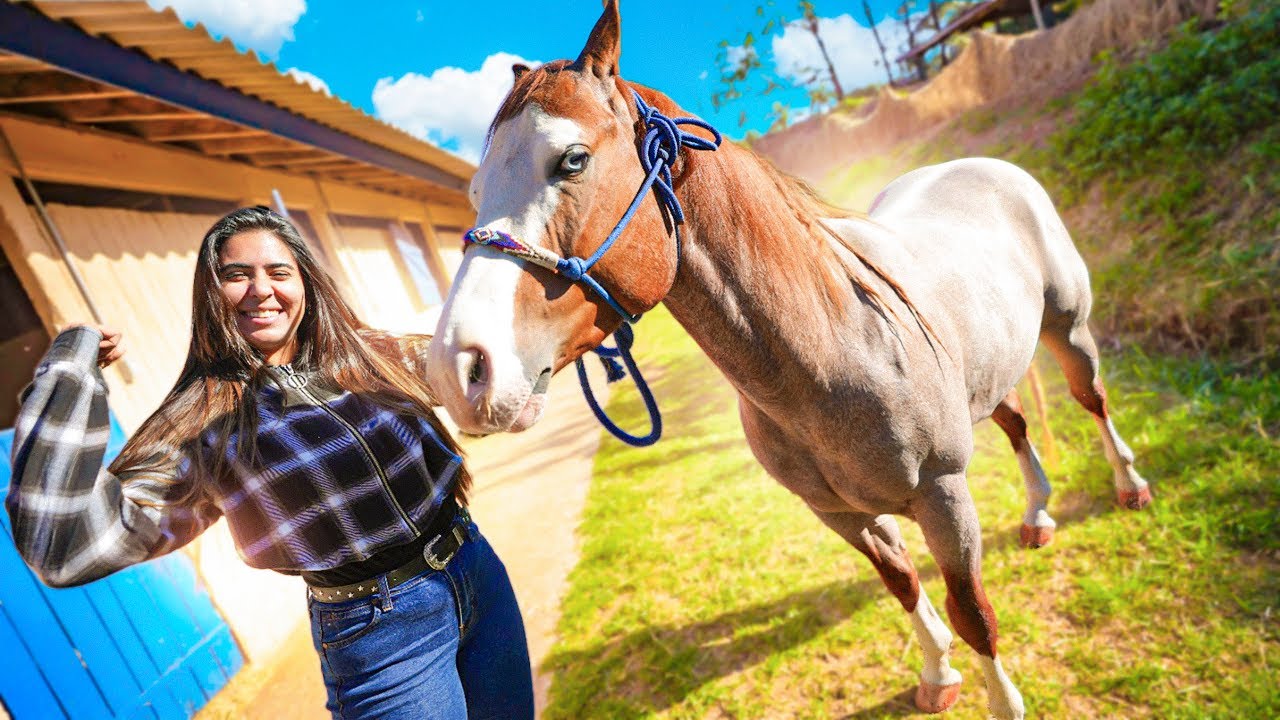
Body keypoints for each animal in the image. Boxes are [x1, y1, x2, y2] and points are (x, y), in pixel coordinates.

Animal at [425, 3, 1152, 717]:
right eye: (476, 190)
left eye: (572, 160)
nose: (459, 369)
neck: (835, 352)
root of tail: (985, 168)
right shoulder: (840, 515)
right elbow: (903, 584)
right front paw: (937, 674)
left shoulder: (943, 495)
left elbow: (971, 611)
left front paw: (999, 696)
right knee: (1017, 423)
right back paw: (1037, 514)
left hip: (1068, 331)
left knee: (1092, 401)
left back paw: (1129, 487)